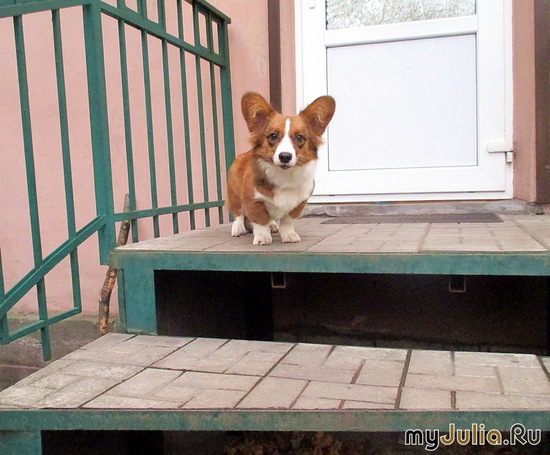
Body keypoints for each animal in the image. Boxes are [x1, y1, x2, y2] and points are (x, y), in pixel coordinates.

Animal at [227, 92, 335, 245]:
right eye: (273, 135)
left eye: (299, 137)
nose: (285, 156)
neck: (284, 175)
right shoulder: (253, 201)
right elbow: (260, 220)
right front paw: (262, 238)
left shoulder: (299, 203)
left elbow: (287, 221)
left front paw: (289, 235)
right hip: (234, 193)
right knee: (238, 213)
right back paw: (238, 228)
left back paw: (272, 225)